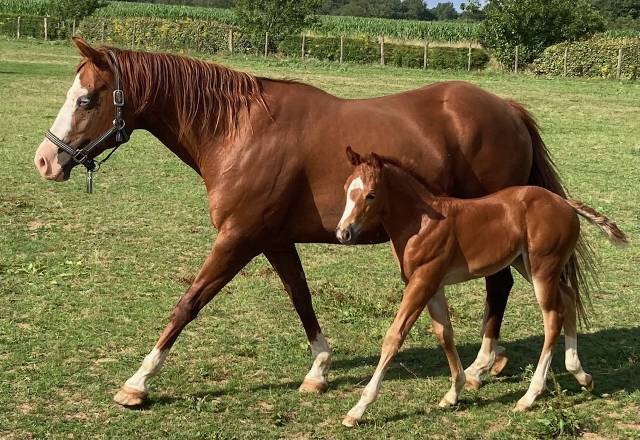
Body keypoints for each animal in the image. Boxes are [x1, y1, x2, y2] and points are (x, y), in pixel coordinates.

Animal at [34, 37, 582, 407]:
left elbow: (188, 304)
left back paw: (480, 366)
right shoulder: (272, 240)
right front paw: (319, 368)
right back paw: (489, 363)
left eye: (86, 99)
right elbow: (300, 297)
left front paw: (137, 382)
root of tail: (507, 108)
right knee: (501, 286)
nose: (45, 160)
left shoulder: (237, 238)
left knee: (500, 286)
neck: (241, 130)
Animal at [336, 148, 628, 426]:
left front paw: (357, 410)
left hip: (543, 268)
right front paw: (454, 392)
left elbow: (394, 337)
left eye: (371, 195)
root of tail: (564, 203)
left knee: (553, 318)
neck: (422, 222)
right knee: (568, 297)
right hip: (527, 265)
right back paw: (582, 375)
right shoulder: (433, 285)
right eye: (347, 189)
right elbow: (445, 333)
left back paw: (529, 397)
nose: (343, 233)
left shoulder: (422, 281)